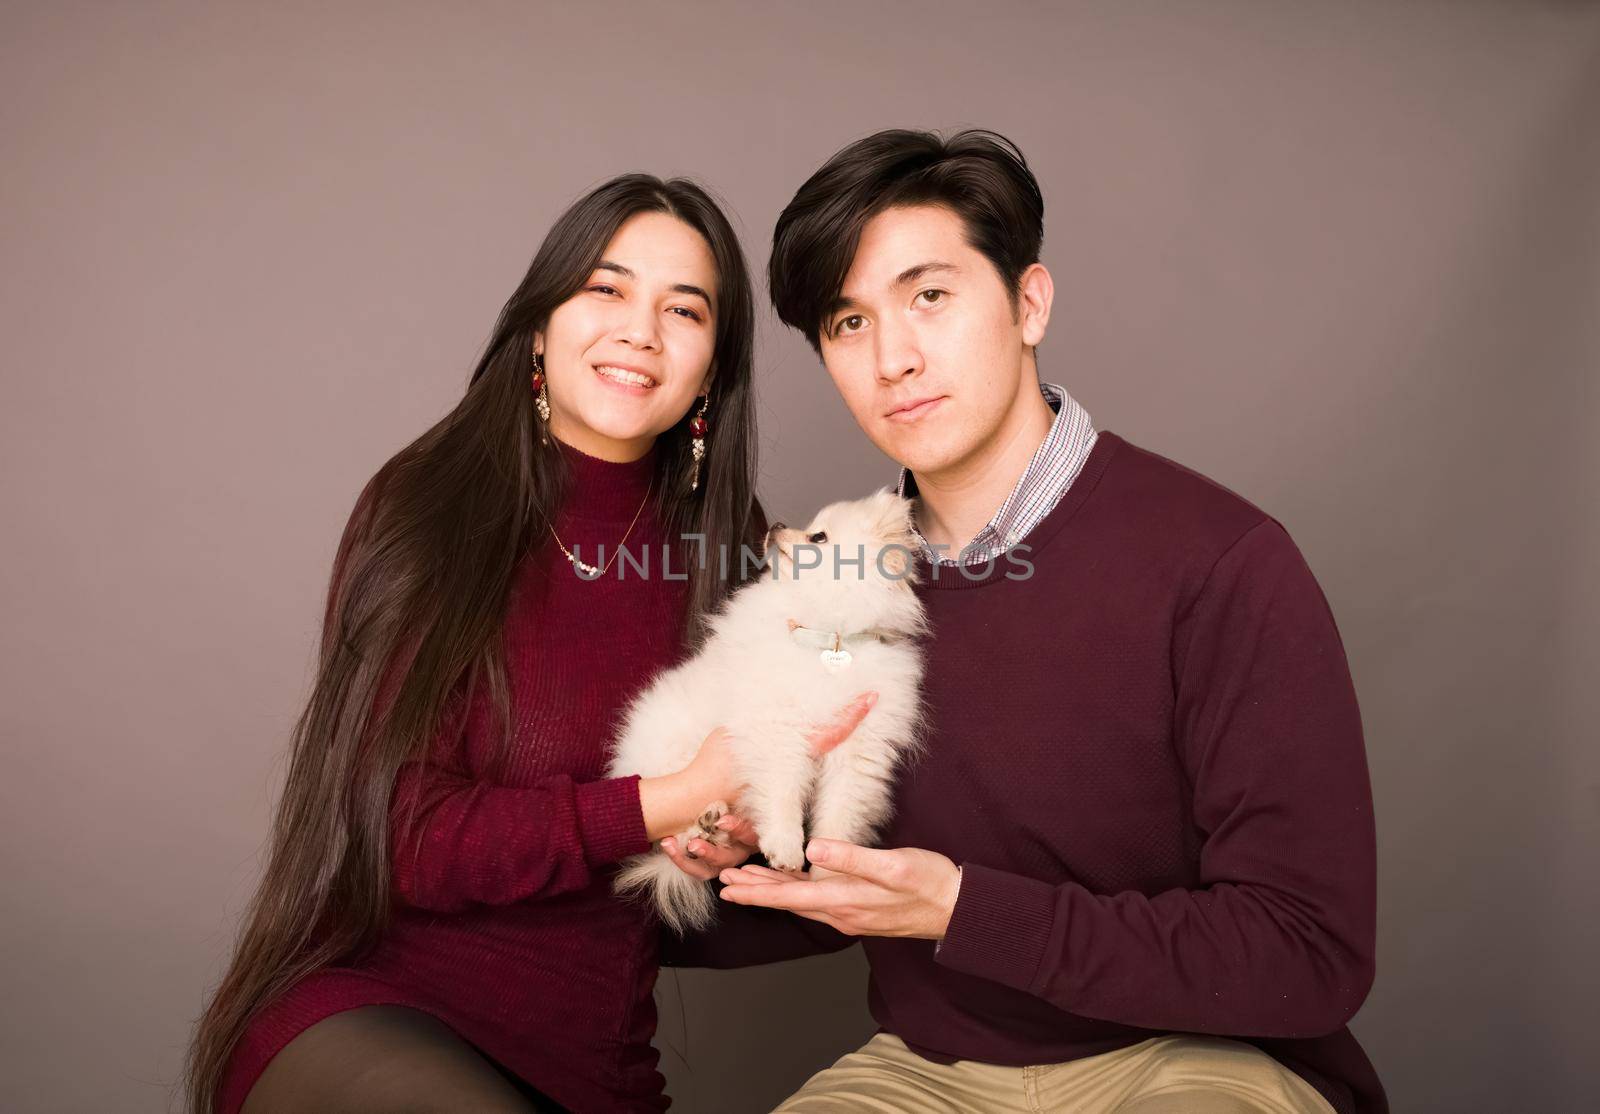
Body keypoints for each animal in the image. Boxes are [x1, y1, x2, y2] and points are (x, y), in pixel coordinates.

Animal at [601, 486, 928, 928]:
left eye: (818, 537)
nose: (776, 525)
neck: (827, 640)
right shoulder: (777, 730)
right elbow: (783, 792)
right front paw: (786, 847)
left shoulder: (859, 748)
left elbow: (839, 814)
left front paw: (830, 871)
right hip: (675, 752)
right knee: (671, 829)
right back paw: (702, 831)